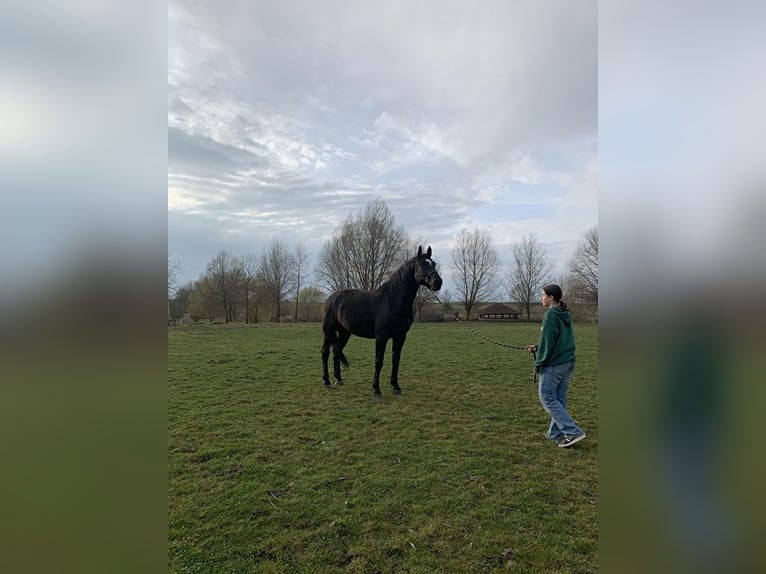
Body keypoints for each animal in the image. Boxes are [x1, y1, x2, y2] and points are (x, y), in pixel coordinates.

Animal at [322, 245, 444, 398]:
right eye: (421, 264)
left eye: (433, 264)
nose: (437, 282)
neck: (393, 300)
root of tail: (331, 298)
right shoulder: (382, 336)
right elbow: (378, 361)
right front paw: (376, 389)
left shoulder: (400, 336)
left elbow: (396, 360)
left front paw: (396, 386)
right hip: (328, 332)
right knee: (325, 352)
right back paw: (326, 381)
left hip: (345, 333)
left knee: (336, 350)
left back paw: (338, 379)